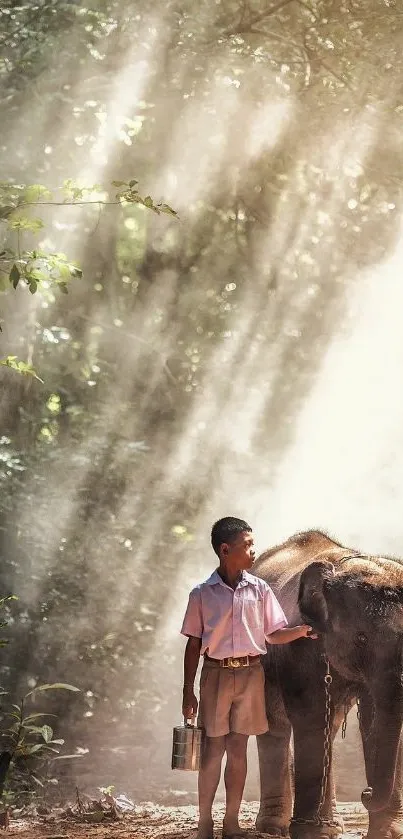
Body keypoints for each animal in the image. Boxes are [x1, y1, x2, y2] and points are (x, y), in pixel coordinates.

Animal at [254, 532, 403, 839]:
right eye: (361, 638)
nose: (365, 792)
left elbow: (372, 720)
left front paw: (386, 834)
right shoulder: (298, 645)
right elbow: (310, 718)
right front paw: (308, 833)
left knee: (331, 727)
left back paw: (331, 825)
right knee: (276, 725)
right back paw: (275, 828)